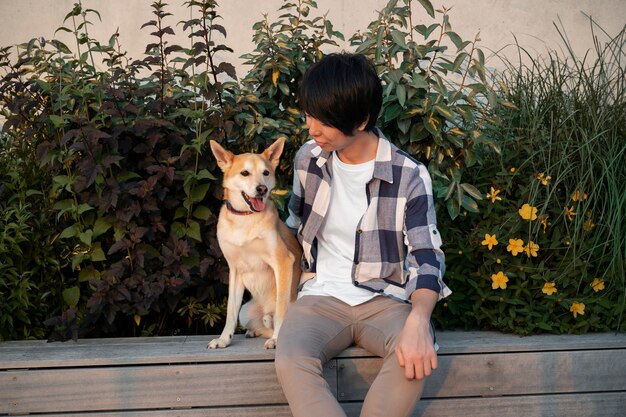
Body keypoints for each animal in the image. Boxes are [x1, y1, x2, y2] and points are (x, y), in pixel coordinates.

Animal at [206, 137, 302, 348]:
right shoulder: (235, 270)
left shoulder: (283, 261)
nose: (262, 189)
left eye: (266, 173)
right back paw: (254, 331)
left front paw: (277, 340)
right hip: (246, 310)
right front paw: (223, 339)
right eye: (245, 173)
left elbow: (281, 309)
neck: (246, 219)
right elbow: (230, 312)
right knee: (262, 324)